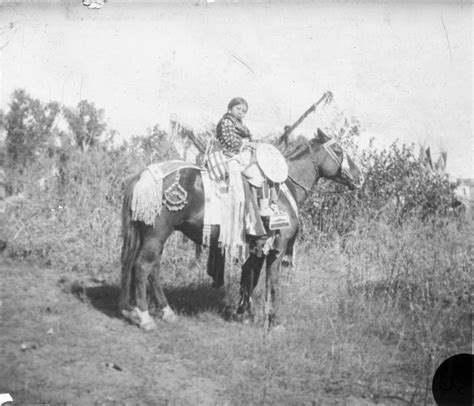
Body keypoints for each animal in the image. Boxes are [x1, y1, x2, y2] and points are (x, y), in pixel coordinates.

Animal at [119, 128, 362, 332]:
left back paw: (163, 312)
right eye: (338, 150)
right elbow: (271, 283)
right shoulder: (278, 248)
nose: (360, 176)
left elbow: (249, 280)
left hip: (152, 235)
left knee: (152, 269)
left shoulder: (256, 249)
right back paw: (146, 318)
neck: (284, 188)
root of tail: (143, 175)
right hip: (157, 234)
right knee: (143, 266)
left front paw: (244, 313)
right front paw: (271, 321)